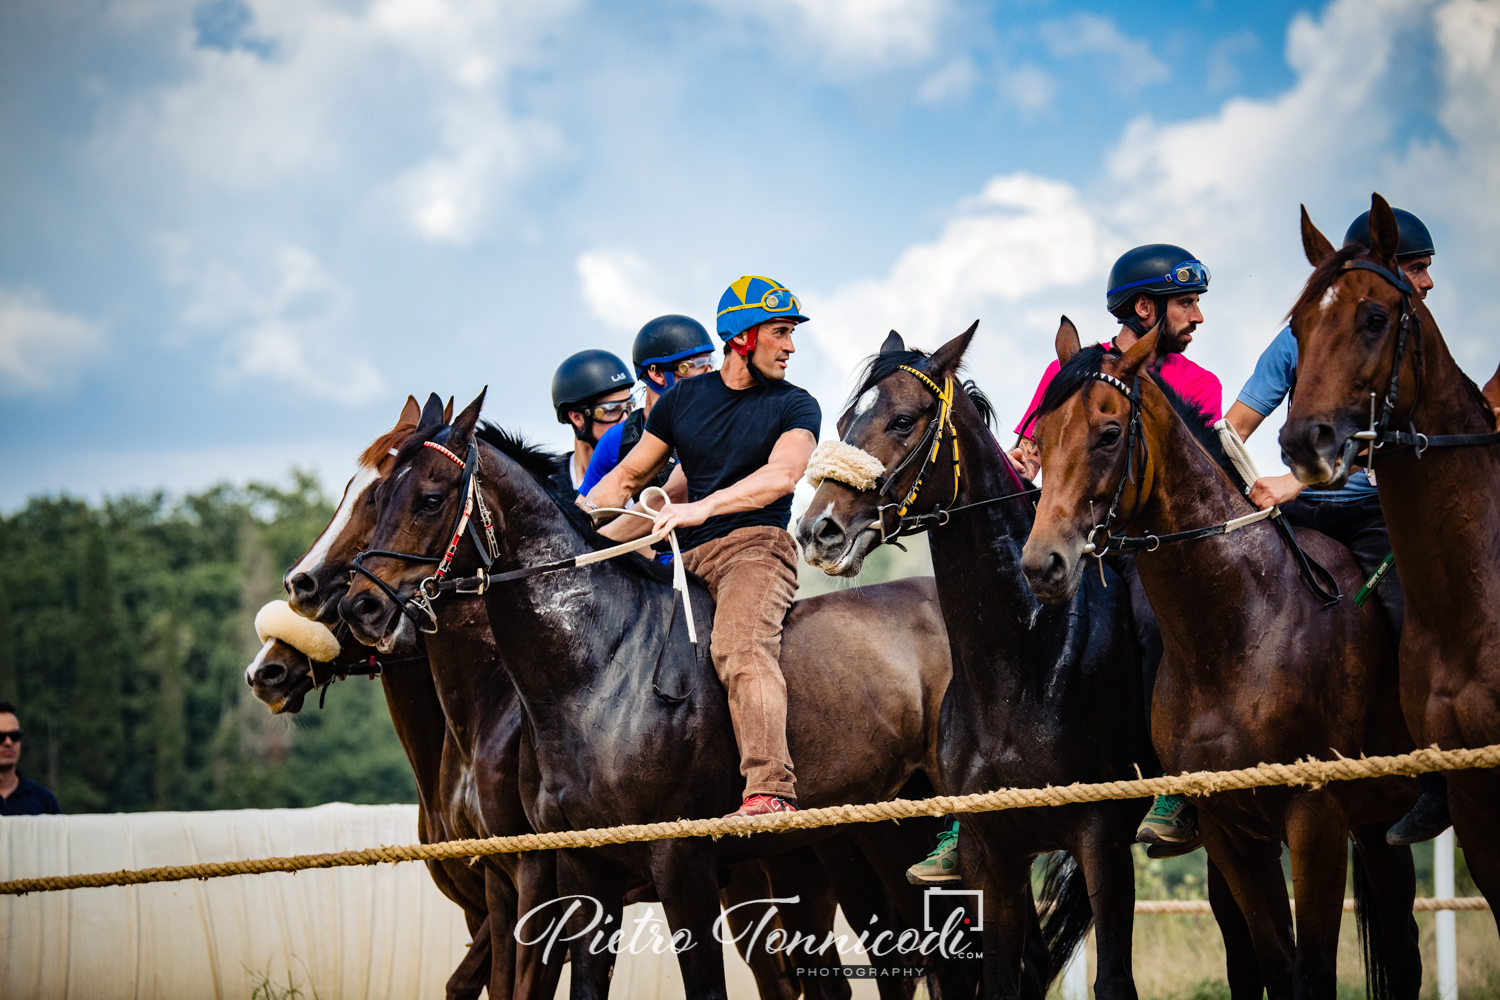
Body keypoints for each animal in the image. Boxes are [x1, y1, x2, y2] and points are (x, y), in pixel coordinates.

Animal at [340, 389, 1020, 1000]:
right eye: (378, 497)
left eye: (429, 499)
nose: (360, 605)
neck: (598, 672)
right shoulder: (582, 867)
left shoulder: (677, 861)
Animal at [804, 328, 1140, 1000]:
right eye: (846, 422)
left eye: (902, 420)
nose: (818, 530)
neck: (1026, 668)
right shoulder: (995, 854)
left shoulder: (1105, 840)